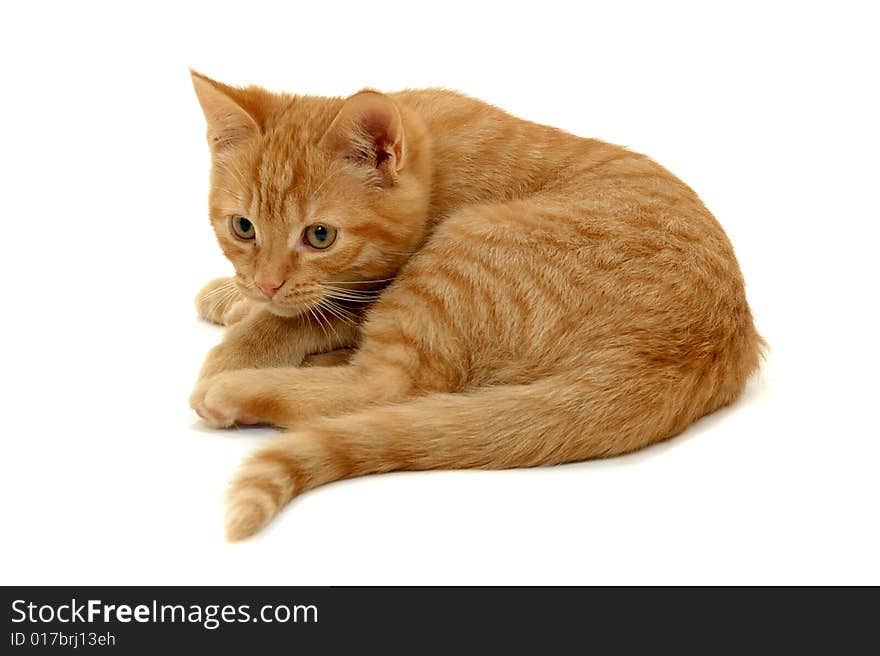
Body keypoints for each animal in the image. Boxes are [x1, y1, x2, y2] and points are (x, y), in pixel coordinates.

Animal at [187, 73, 764, 544]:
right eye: (243, 227)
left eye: (320, 236)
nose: (266, 284)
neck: (432, 151)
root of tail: (684, 355)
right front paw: (231, 296)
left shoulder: (377, 282)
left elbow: (308, 314)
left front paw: (239, 347)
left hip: (461, 246)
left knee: (388, 384)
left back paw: (238, 389)